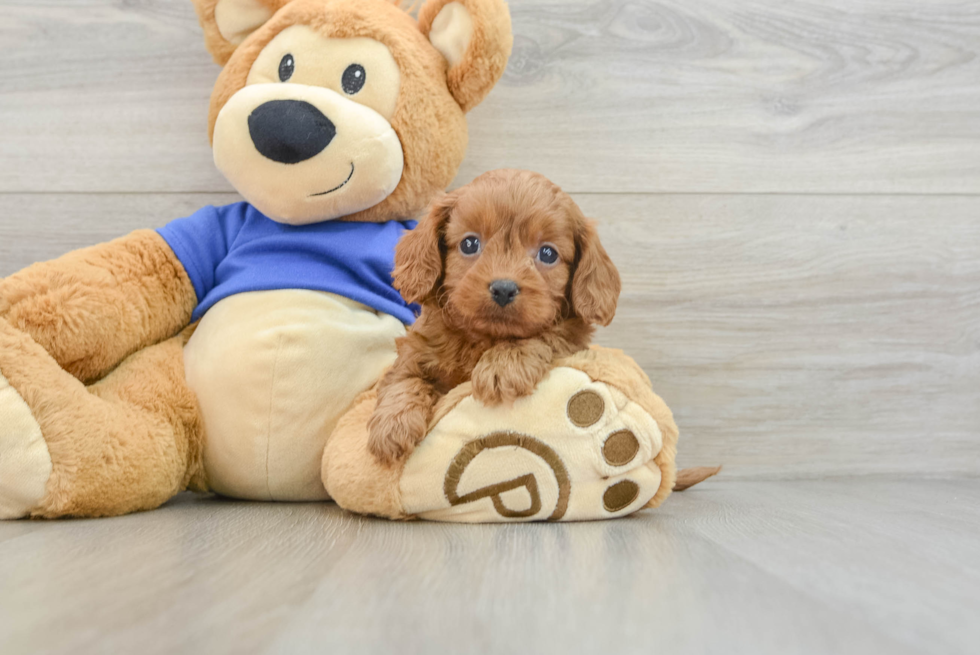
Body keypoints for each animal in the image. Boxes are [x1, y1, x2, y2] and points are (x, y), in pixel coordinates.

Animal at [368, 169, 620, 466]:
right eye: (469, 243)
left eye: (548, 253)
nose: (504, 288)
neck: (483, 339)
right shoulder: (415, 351)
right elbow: (404, 379)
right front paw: (393, 425)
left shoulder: (570, 337)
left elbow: (546, 335)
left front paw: (504, 365)